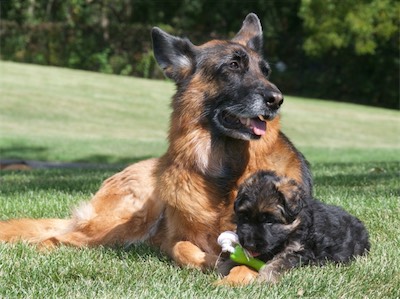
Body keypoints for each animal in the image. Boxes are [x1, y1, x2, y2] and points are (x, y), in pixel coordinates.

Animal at [0, 12, 312, 282]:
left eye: (265, 71)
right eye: (233, 66)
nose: (276, 99)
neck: (223, 173)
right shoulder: (177, 238)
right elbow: (182, 248)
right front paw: (211, 262)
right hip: (127, 220)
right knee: (61, 236)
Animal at [222, 171, 368, 286]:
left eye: (269, 221)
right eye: (245, 217)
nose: (249, 244)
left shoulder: (298, 250)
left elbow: (278, 262)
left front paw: (265, 279)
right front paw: (224, 266)